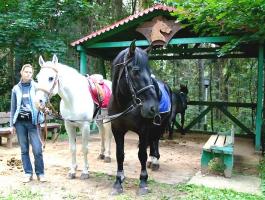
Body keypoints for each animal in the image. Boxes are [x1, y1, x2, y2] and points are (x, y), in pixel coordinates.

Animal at [108, 41, 170, 195]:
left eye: (149, 71)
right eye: (135, 71)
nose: (153, 107)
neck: (124, 104)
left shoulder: (143, 130)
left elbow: (142, 154)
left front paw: (143, 182)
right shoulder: (117, 130)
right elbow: (119, 154)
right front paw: (118, 181)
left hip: (161, 124)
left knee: (156, 140)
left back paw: (155, 161)